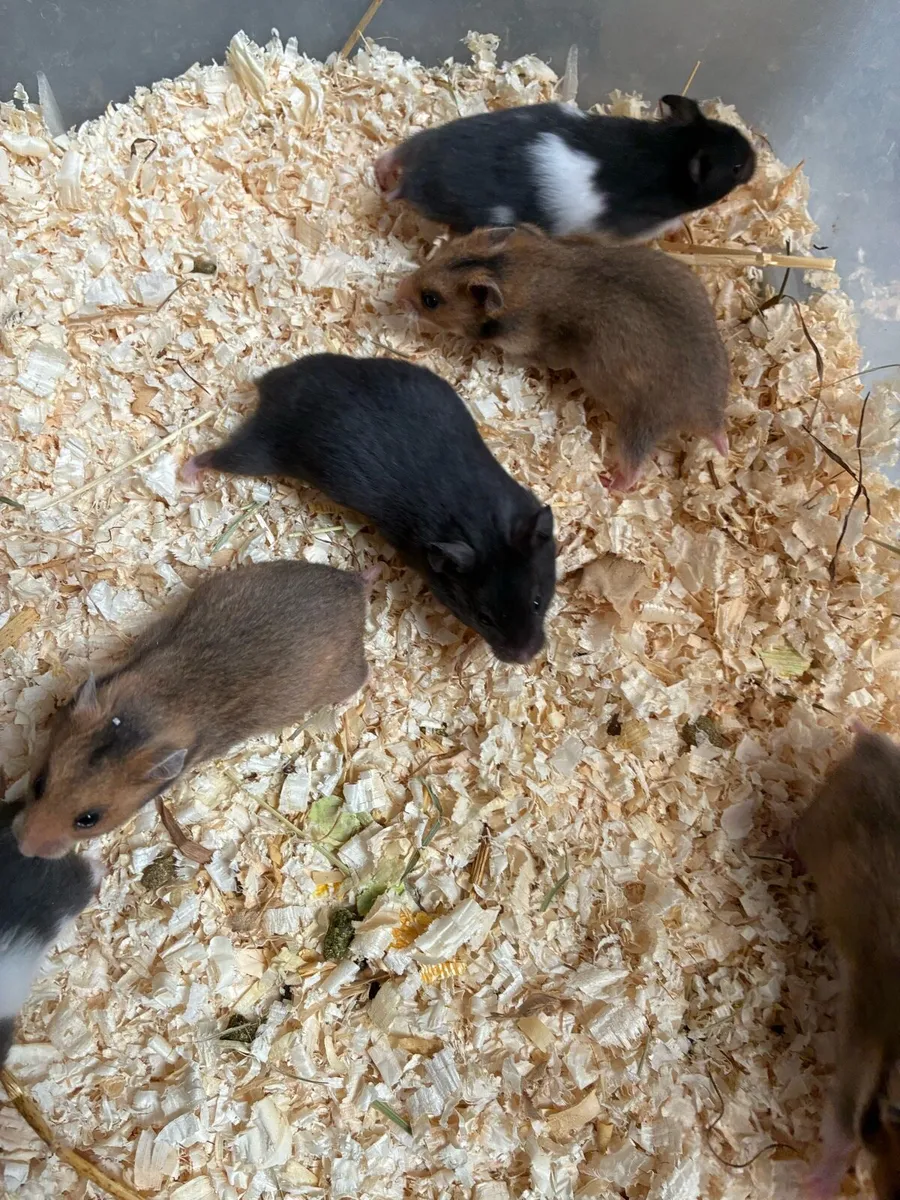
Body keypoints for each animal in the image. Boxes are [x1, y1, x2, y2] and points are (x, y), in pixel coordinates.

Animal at [13, 561, 371, 859]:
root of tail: (355, 586)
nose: (24, 848)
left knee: (362, 676)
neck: (151, 711)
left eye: (88, 819)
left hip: (343, 675)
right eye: (39, 783)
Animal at [183, 354, 556, 663]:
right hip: (262, 449)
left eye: (537, 602)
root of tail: (272, 385)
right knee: (216, 455)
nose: (525, 659)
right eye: (483, 618)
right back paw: (189, 472)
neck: (480, 520)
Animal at [375, 96, 755, 241]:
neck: (667, 152)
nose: (755, 160)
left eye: (728, 128)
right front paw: (679, 227)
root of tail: (415, 176)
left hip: (429, 138)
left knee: (396, 152)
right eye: (737, 168)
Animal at [397, 224, 729, 490]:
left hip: (640, 423)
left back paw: (609, 483)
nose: (397, 291)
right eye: (442, 254)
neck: (521, 273)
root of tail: (709, 416)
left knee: (635, 467)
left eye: (431, 300)